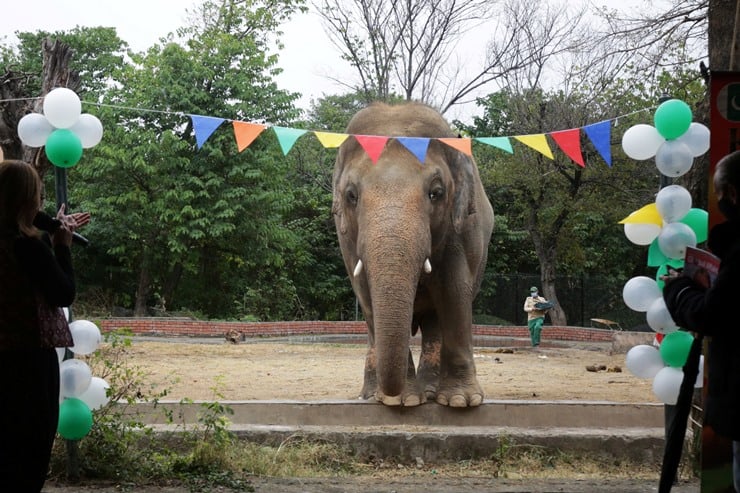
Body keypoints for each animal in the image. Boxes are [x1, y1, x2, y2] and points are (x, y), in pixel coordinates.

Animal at [332, 101, 494, 408]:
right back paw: (371, 395)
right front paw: (400, 402)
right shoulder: (346, 238)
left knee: (434, 322)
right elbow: (365, 293)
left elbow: (454, 289)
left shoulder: (463, 228)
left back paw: (431, 392)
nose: (392, 394)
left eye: (436, 192)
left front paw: (460, 401)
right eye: (351, 196)